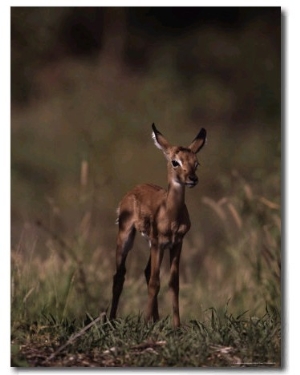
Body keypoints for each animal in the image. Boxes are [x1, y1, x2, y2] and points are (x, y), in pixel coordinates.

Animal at [109, 125, 206, 328]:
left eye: (196, 162)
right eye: (175, 161)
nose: (192, 178)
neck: (170, 215)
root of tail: (133, 190)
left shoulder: (176, 244)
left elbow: (173, 282)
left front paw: (176, 326)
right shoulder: (158, 243)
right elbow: (155, 282)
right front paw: (146, 323)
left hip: (152, 245)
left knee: (146, 272)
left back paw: (155, 319)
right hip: (127, 236)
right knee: (120, 274)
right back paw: (111, 320)